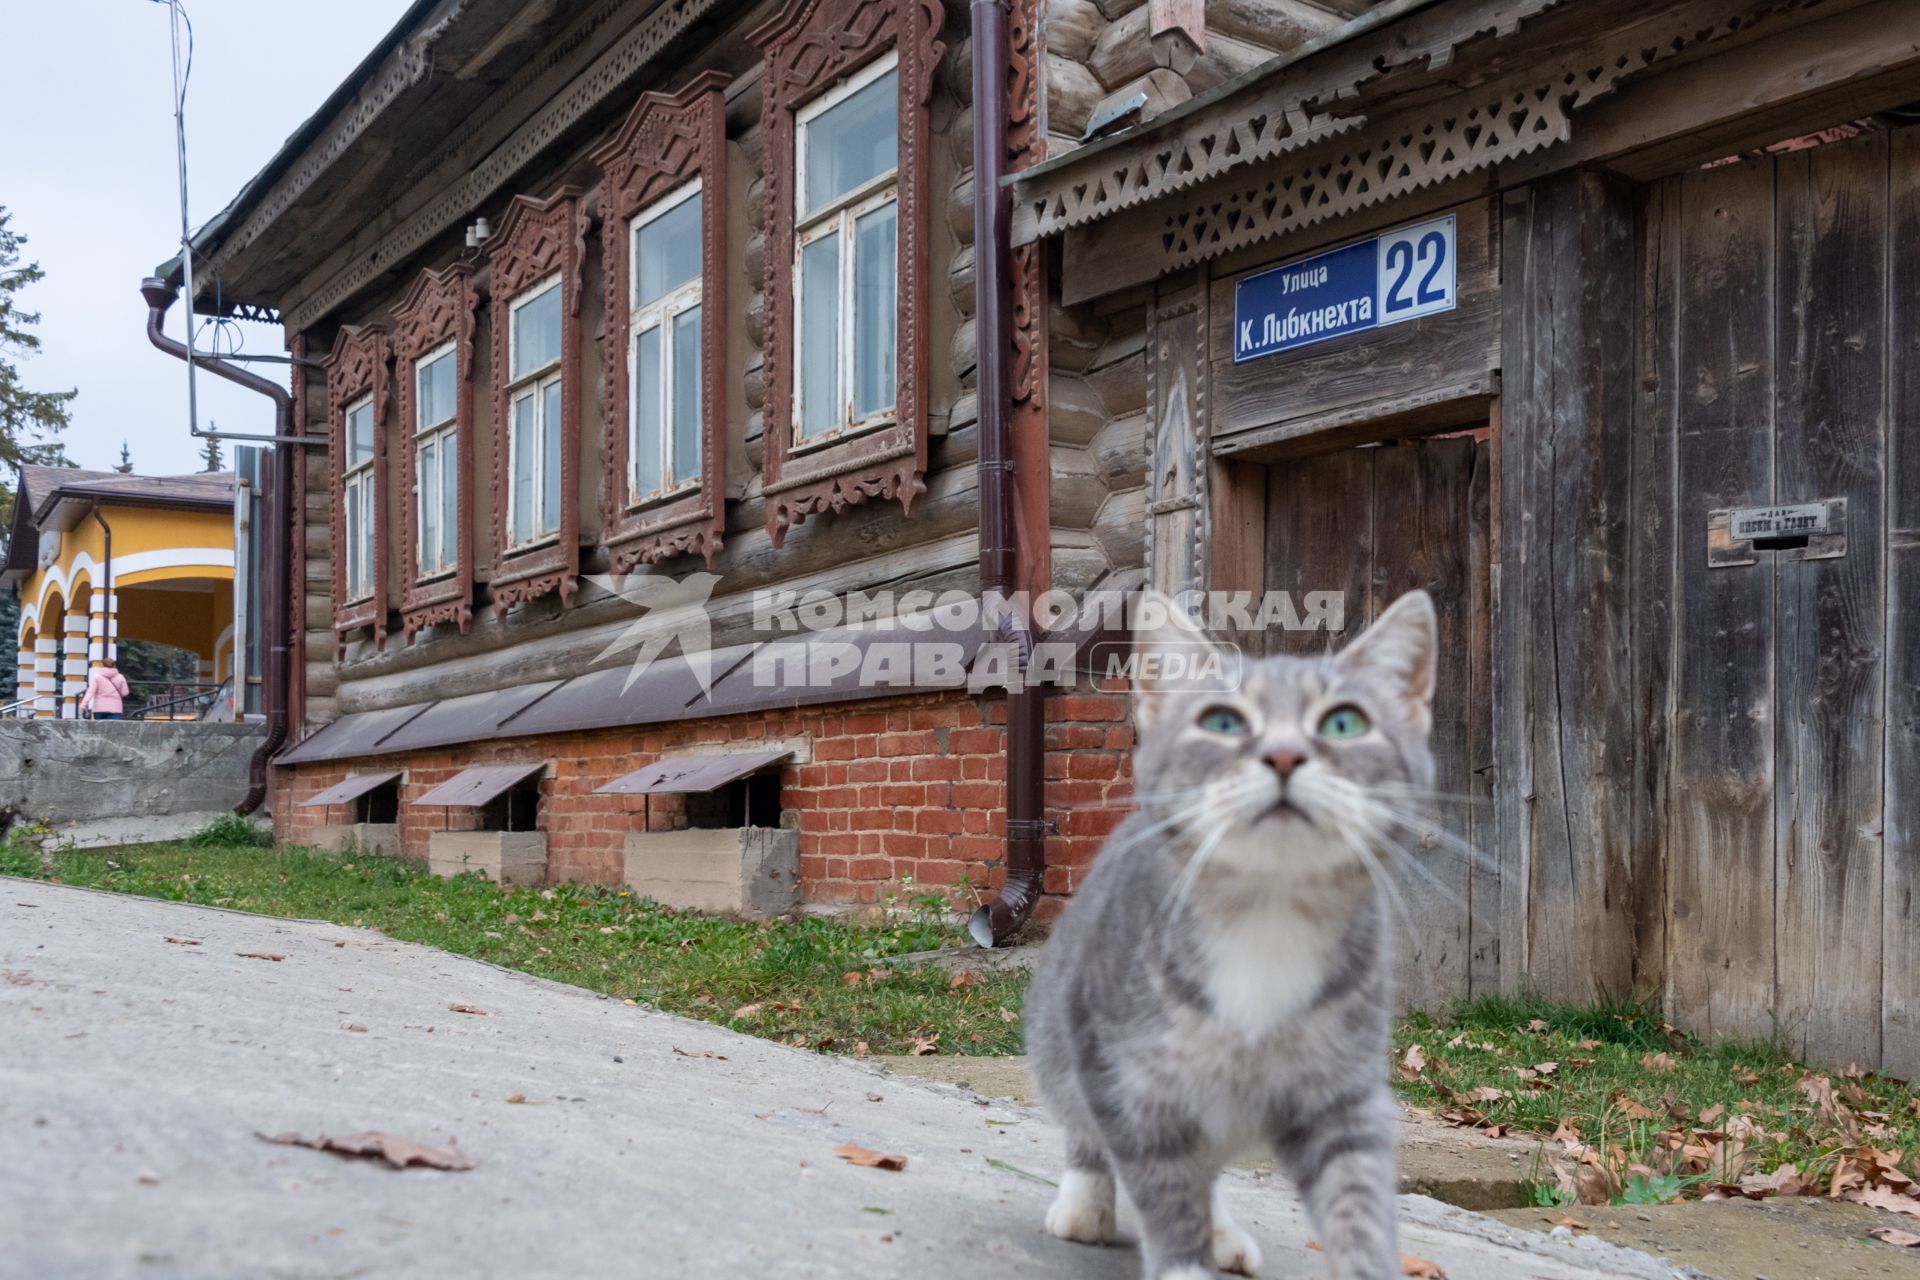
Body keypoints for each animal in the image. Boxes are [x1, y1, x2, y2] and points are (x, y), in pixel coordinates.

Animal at [1029, 591, 1436, 1280]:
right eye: (1222, 722)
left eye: (1344, 723)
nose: (1284, 755)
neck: (1266, 917)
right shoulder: (1127, 1080)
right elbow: (1165, 1187)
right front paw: (1183, 1261)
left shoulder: (1342, 1092)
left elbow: (1356, 1193)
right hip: (1063, 1028)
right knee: (1085, 1129)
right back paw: (1085, 1205)